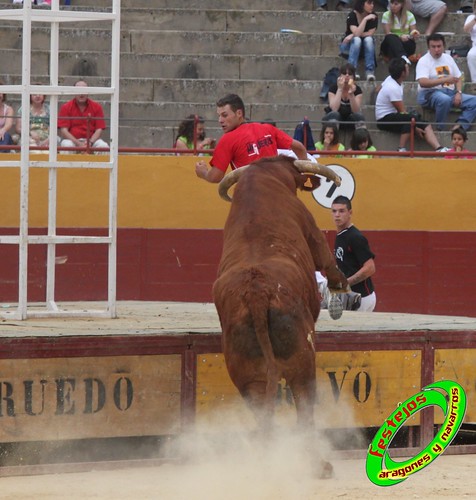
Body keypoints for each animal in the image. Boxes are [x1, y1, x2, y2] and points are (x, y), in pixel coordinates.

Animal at [214, 156, 348, 476]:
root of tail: (257, 292)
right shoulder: (309, 226)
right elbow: (324, 255)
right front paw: (341, 284)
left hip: (245, 373)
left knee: (262, 411)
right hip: (303, 359)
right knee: (304, 402)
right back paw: (317, 464)